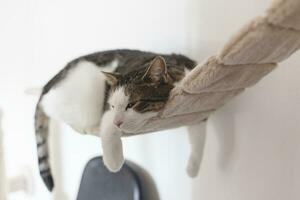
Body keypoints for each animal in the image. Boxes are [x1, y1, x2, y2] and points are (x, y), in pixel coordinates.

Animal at [33, 49, 206, 191]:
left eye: (132, 104)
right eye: (113, 106)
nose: (117, 122)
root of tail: (48, 84)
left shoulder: (196, 103)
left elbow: (199, 136)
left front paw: (193, 168)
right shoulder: (108, 114)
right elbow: (109, 131)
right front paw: (113, 162)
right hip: (85, 94)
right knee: (55, 110)